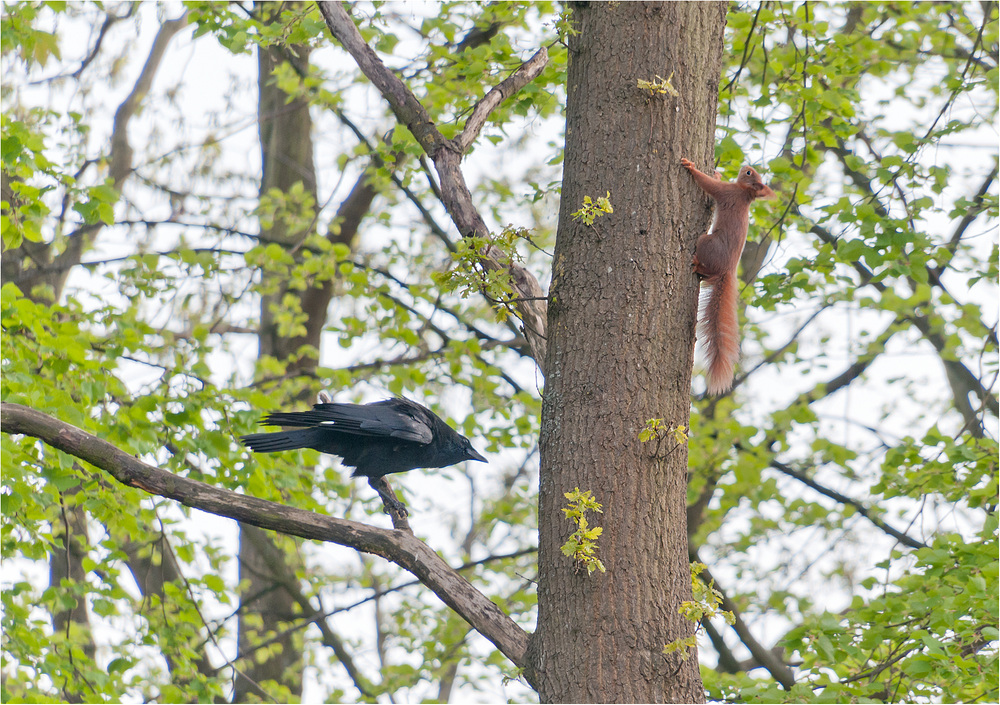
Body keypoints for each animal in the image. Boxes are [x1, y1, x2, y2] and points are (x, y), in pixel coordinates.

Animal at [676, 158, 776, 396]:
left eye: (748, 173)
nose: (746, 165)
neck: (744, 194)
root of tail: (728, 270)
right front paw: (717, 173)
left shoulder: (726, 192)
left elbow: (709, 185)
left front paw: (691, 167)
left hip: (706, 242)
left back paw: (696, 264)